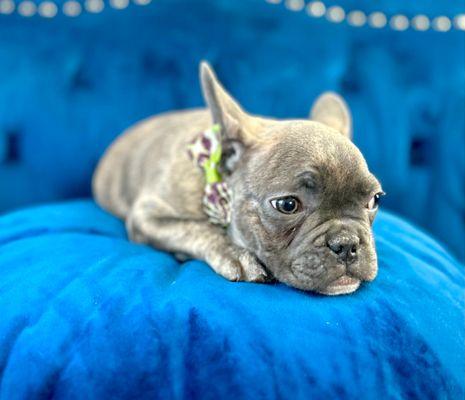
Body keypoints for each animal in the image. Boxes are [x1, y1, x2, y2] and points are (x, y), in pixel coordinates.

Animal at [92, 61, 382, 294]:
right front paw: (236, 254)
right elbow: (196, 229)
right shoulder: (147, 216)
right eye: (287, 205)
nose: (347, 244)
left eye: (374, 200)